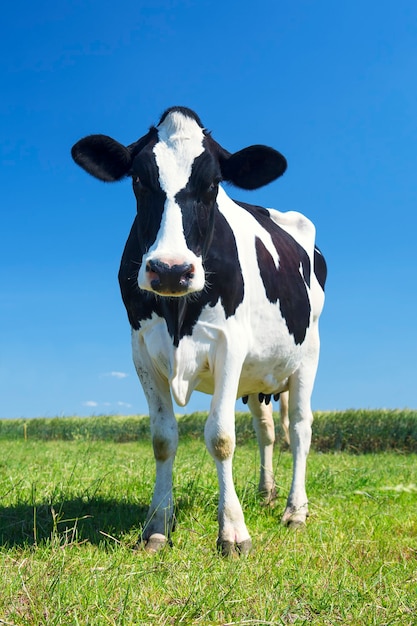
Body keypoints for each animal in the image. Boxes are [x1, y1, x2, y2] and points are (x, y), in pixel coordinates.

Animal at [70, 107, 324, 556]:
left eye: (213, 184)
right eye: (139, 180)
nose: (171, 269)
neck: (177, 314)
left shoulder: (229, 344)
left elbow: (221, 437)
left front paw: (233, 533)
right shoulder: (140, 348)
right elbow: (163, 438)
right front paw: (157, 526)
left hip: (308, 355)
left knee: (299, 427)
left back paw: (295, 510)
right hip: (257, 377)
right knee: (267, 430)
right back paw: (267, 493)